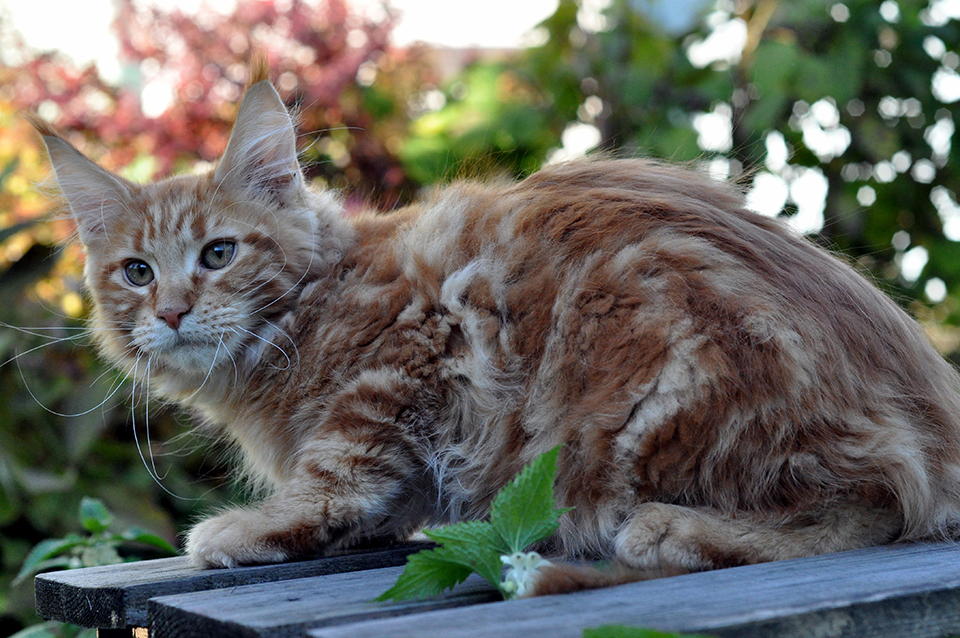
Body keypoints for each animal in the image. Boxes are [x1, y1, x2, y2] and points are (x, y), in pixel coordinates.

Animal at [26, 57, 960, 596]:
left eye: (218, 253)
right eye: (137, 272)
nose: (173, 310)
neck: (311, 305)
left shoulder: (405, 348)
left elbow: (339, 468)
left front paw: (255, 527)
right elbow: (382, 498)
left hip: (660, 387)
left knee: (872, 507)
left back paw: (674, 529)